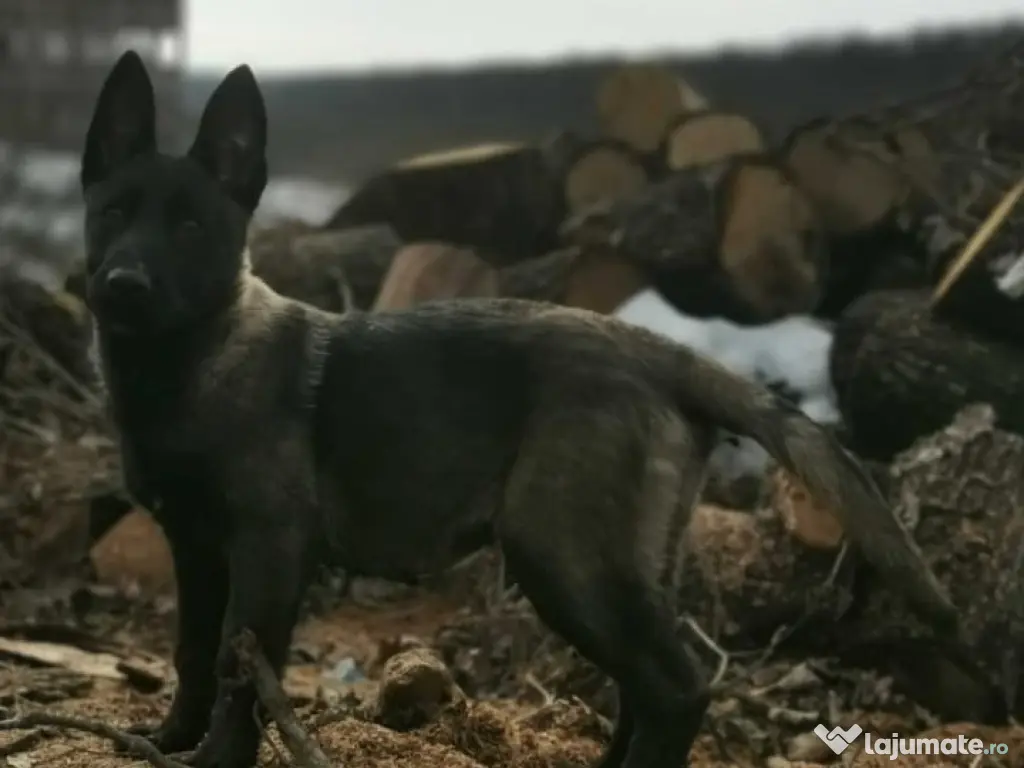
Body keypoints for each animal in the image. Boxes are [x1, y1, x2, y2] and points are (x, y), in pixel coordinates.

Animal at [80, 51, 957, 768]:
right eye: (112, 214)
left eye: (191, 226)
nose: (122, 285)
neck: (186, 365)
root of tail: (657, 351)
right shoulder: (196, 549)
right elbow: (194, 654)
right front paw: (167, 742)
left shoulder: (267, 549)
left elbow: (241, 665)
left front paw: (211, 760)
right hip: (621, 560)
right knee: (645, 684)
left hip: (561, 551)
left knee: (677, 685)